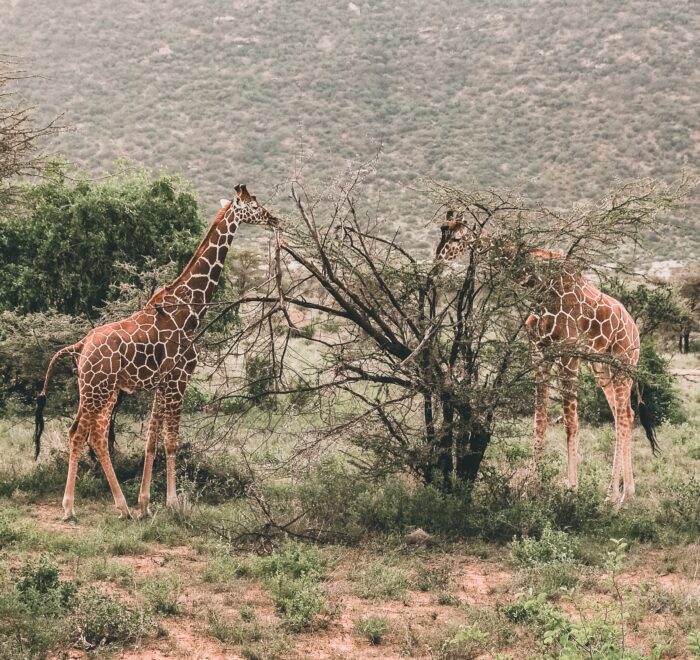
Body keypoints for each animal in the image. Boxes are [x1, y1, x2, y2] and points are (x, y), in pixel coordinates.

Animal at [33, 184, 278, 520]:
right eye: (254, 205)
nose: (274, 218)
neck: (190, 309)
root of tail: (80, 347)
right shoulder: (179, 379)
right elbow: (171, 441)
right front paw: (172, 503)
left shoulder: (162, 383)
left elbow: (151, 440)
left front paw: (146, 503)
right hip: (99, 389)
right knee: (87, 435)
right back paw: (85, 507)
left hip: (96, 389)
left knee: (83, 433)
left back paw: (111, 506)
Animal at [434, 213, 660, 506]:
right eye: (441, 232)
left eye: (457, 237)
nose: (437, 263)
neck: (540, 287)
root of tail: (635, 329)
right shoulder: (540, 353)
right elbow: (539, 421)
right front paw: (531, 489)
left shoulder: (567, 355)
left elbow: (570, 423)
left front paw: (571, 490)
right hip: (601, 366)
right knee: (625, 414)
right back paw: (624, 493)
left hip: (623, 363)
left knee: (623, 416)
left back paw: (616, 496)